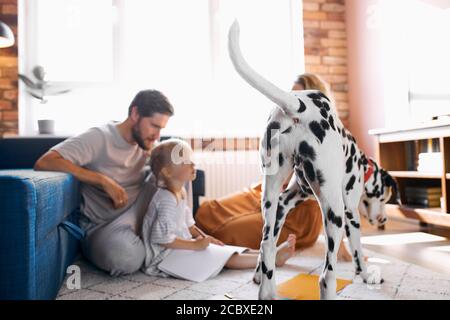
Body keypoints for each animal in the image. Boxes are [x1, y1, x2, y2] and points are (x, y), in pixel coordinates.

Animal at [227, 21, 400, 302]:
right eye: (383, 197)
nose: (384, 220)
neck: (360, 164)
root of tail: (299, 104)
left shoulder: (286, 202)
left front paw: (257, 276)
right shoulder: (351, 213)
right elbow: (358, 252)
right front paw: (367, 275)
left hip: (271, 198)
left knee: (266, 245)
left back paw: (267, 291)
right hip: (335, 211)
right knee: (326, 275)